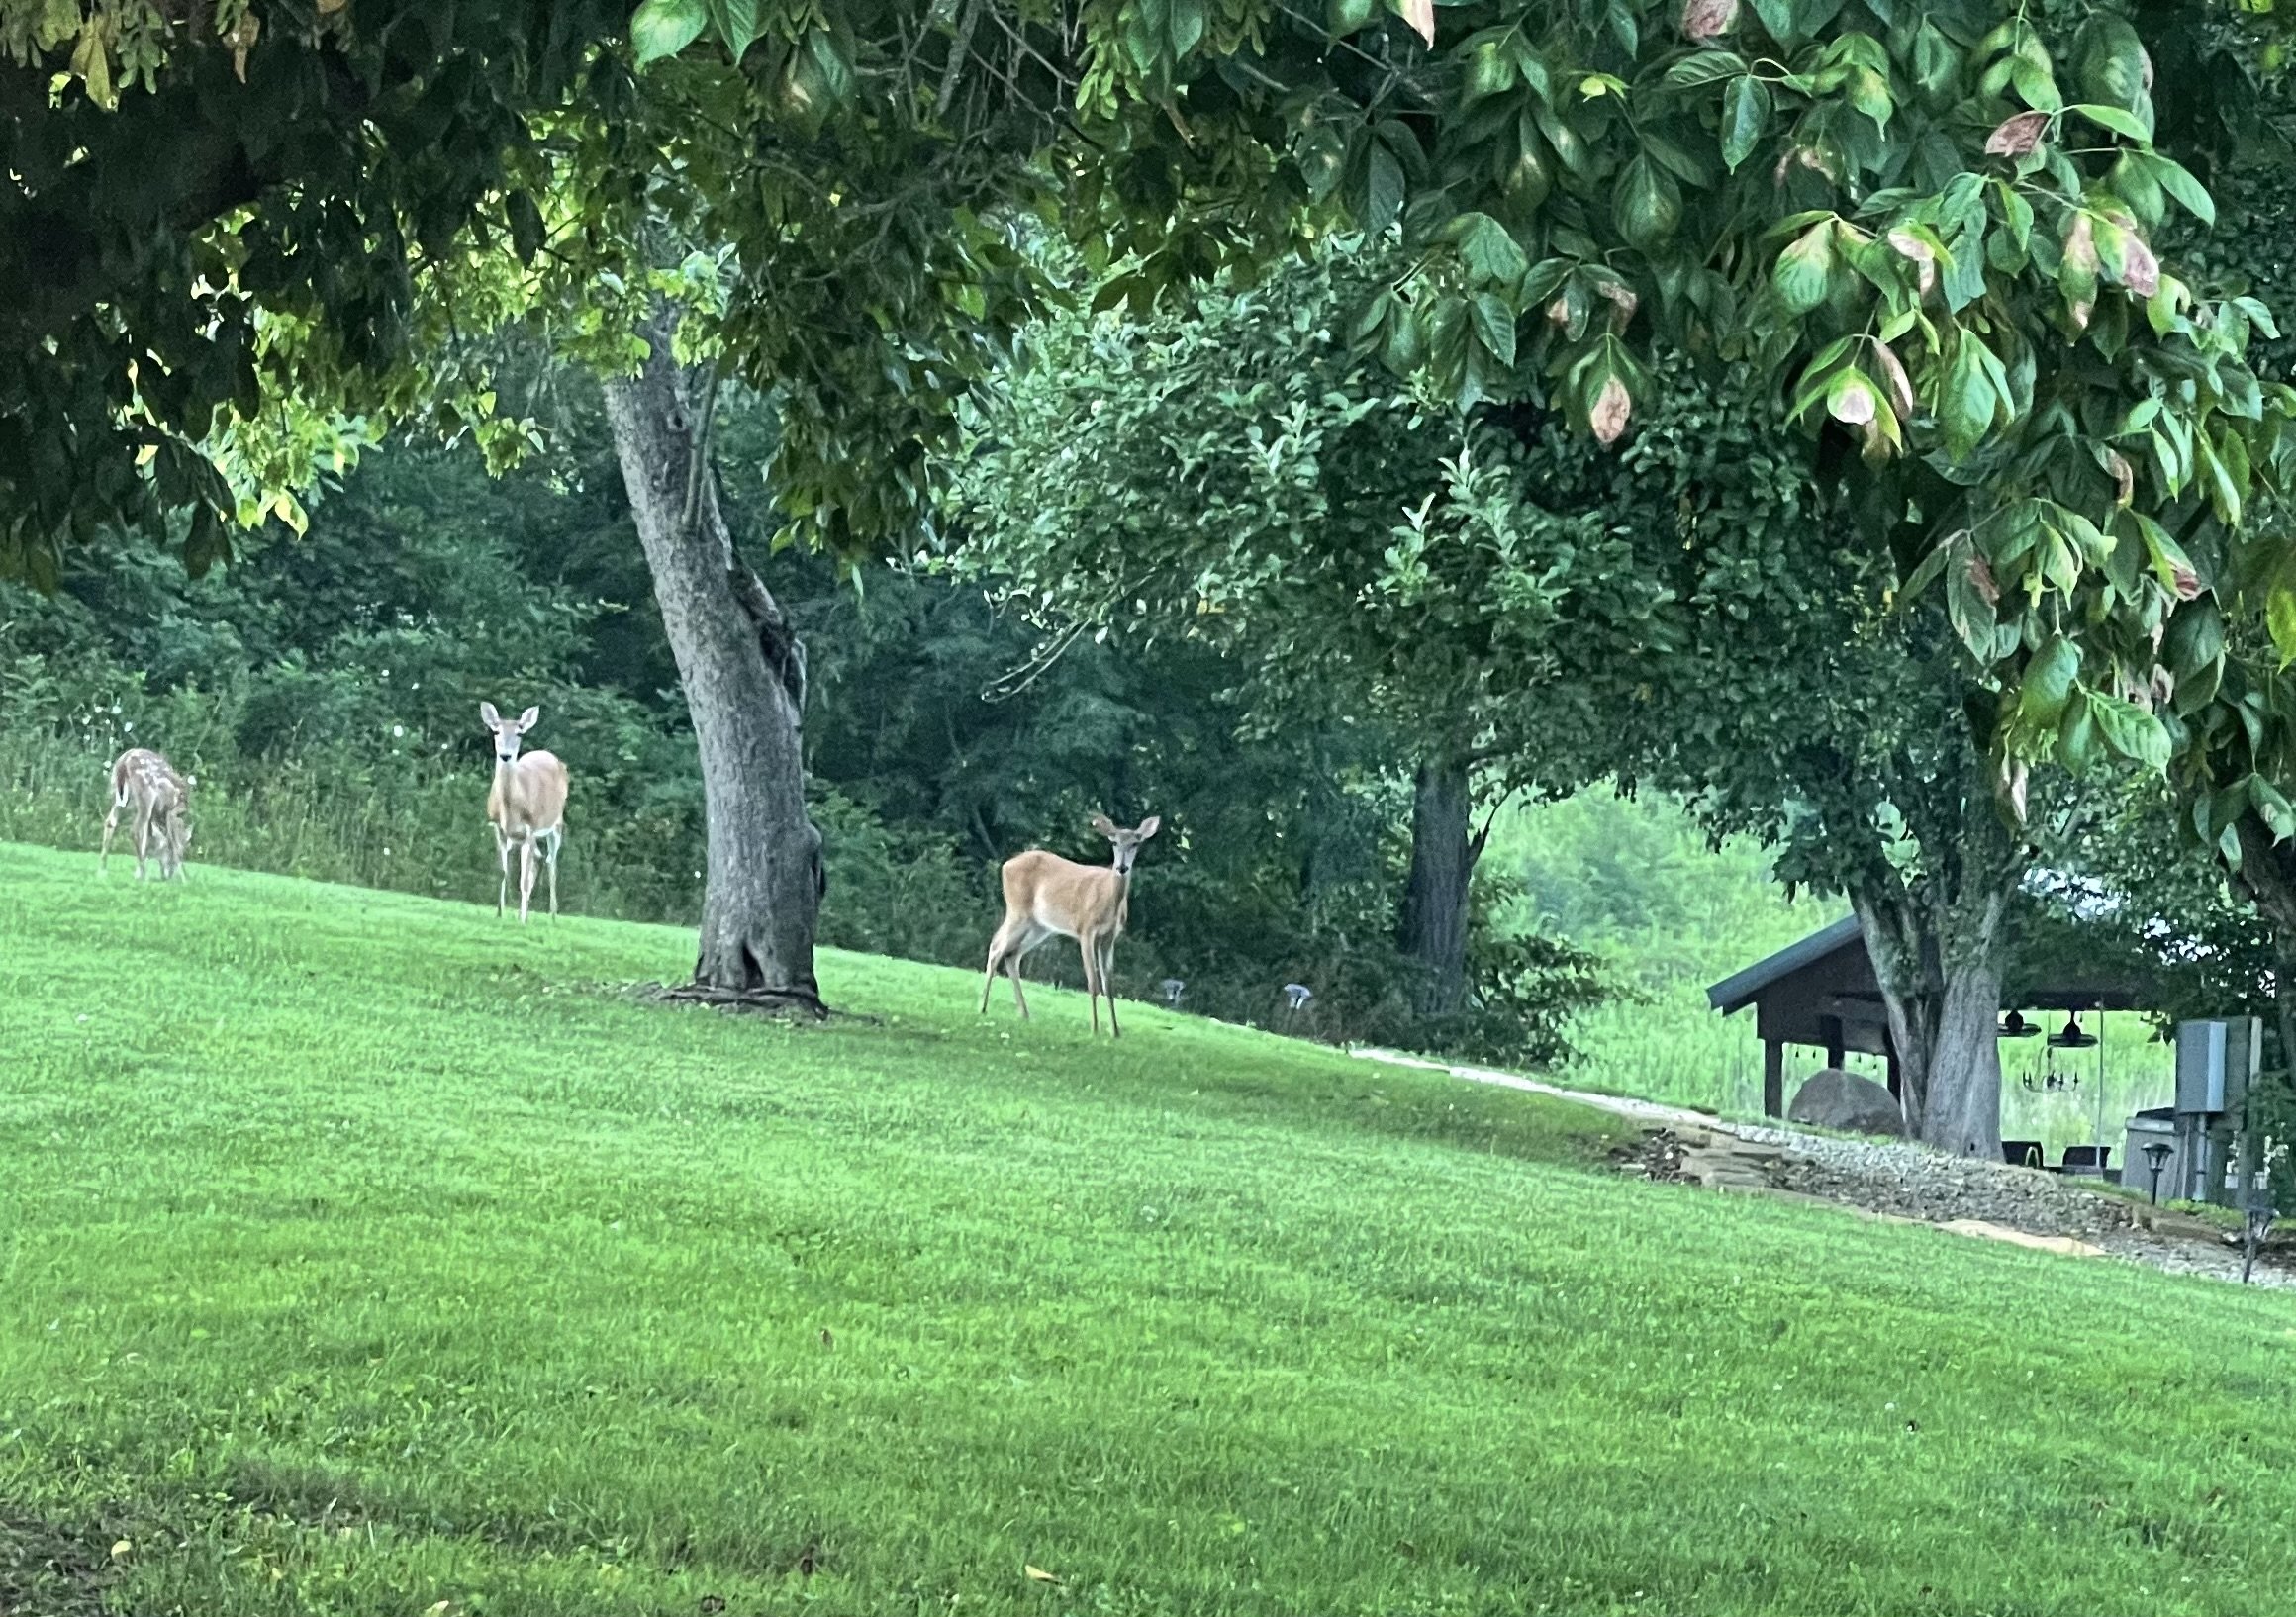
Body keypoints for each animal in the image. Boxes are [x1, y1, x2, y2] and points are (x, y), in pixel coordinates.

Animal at [100, 747, 192, 881]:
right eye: (184, 850)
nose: (168, 875)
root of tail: (123, 762)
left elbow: (147, 837)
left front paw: (137, 873)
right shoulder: (172, 812)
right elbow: (173, 842)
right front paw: (185, 878)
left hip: (117, 795)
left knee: (110, 823)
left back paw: (102, 870)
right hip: (146, 795)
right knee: (134, 830)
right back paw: (144, 874)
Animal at [480, 701, 570, 924]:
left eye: (519, 733)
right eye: (496, 731)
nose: (505, 755)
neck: (510, 808)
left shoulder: (531, 827)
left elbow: (523, 879)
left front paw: (522, 919)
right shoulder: (498, 828)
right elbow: (502, 871)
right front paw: (499, 912)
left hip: (555, 824)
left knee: (551, 862)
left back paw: (552, 915)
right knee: (539, 859)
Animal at [979, 813, 1160, 1037]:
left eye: (1135, 843)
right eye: (1114, 842)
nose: (1122, 868)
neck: (1108, 899)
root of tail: (1006, 865)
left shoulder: (1109, 937)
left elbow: (1109, 984)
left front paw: (1116, 1032)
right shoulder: (1086, 929)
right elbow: (1093, 982)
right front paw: (1094, 1028)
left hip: (1039, 926)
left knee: (1012, 955)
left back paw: (1025, 1014)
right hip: (1017, 910)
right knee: (996, 947)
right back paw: (983, 1008)